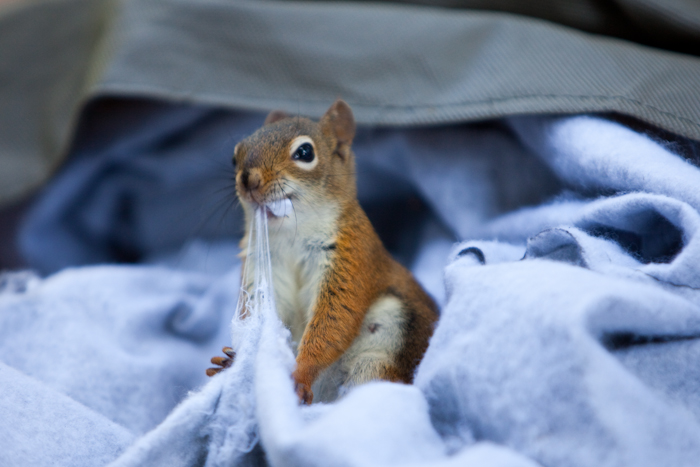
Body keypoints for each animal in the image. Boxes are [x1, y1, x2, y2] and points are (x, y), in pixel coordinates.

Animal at [207, 99, 438, 404]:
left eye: (305, 152)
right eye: (235, 157)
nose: (248, 180)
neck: (291, 235)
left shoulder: (350, 257)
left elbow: (334, 320)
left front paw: (299, 375)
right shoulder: (264, 268)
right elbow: (265, 315)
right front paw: (237, 360)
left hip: (375, 363)